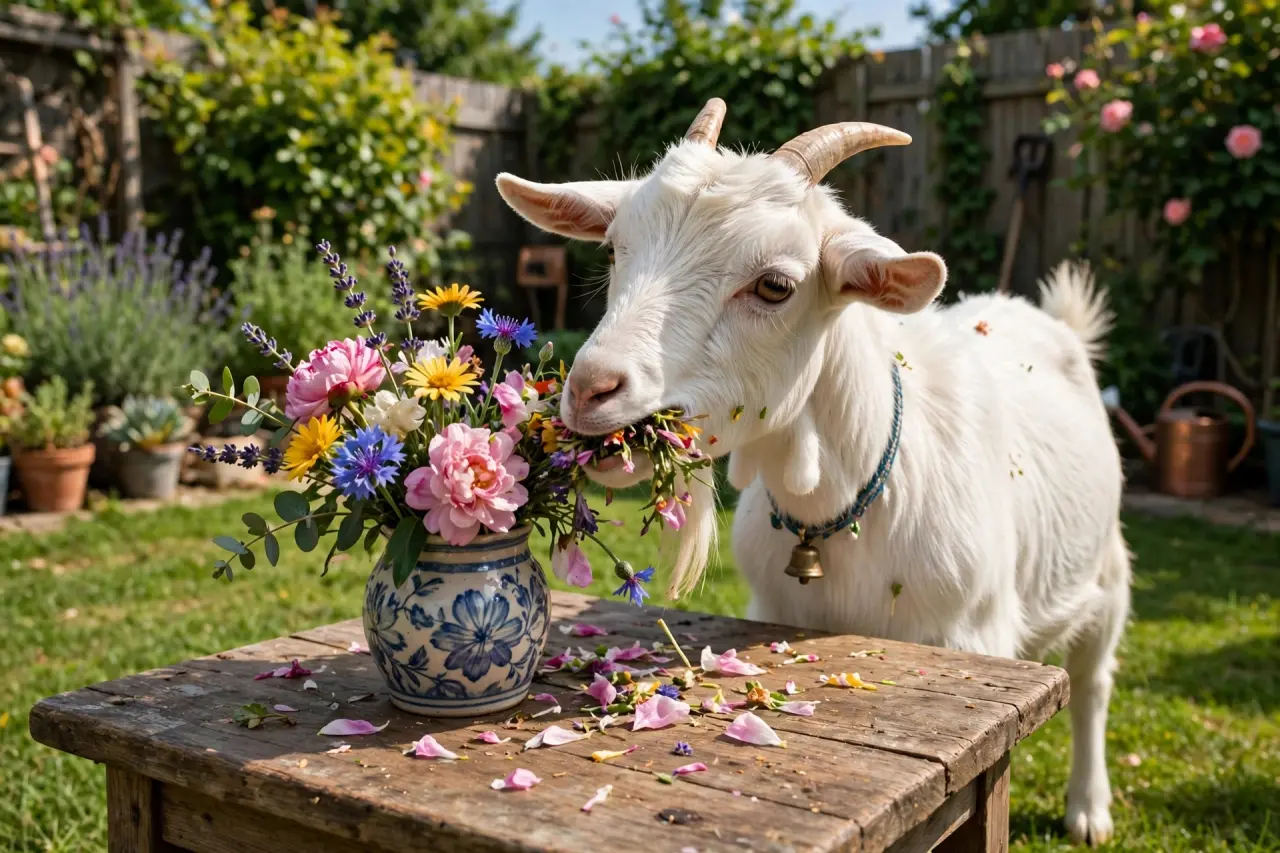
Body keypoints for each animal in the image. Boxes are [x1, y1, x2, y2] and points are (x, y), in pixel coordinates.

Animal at [496, 98, 1130, 846]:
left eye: (776, 285)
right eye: (617, 248)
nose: (592, 388)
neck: (837, 505)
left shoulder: (973, 630)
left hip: (1107, 569)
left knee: (1094, 681)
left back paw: (1089, 809)